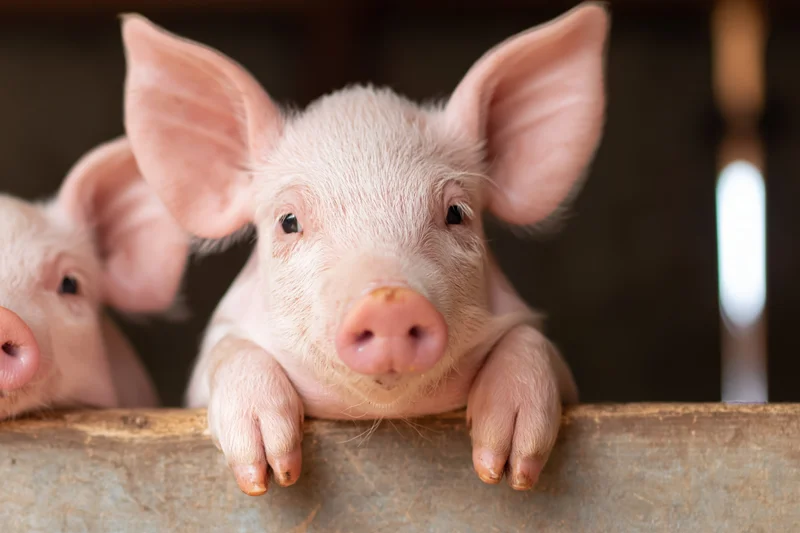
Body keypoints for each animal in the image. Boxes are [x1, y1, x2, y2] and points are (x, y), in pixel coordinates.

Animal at [120, 2, 608, 495]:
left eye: (456, 212)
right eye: (288, 221)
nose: (388, 301)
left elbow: (531, 342)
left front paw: (507, 470)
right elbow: (230, 352)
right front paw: (267, 475)